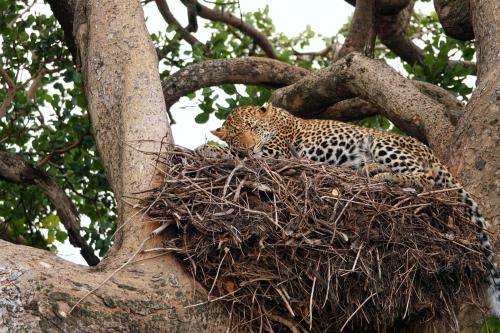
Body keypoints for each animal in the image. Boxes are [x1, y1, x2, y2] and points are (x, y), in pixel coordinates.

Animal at [194, 102, 500, 316]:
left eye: (254, 128)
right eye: (237, 134)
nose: (250, 146)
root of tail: (433, 154)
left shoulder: (276, 152)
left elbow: (240, 156)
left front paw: (208, 149)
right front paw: (216, 148)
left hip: (383, 143)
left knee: (424, 178)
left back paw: (382, 174)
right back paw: (370, 169)